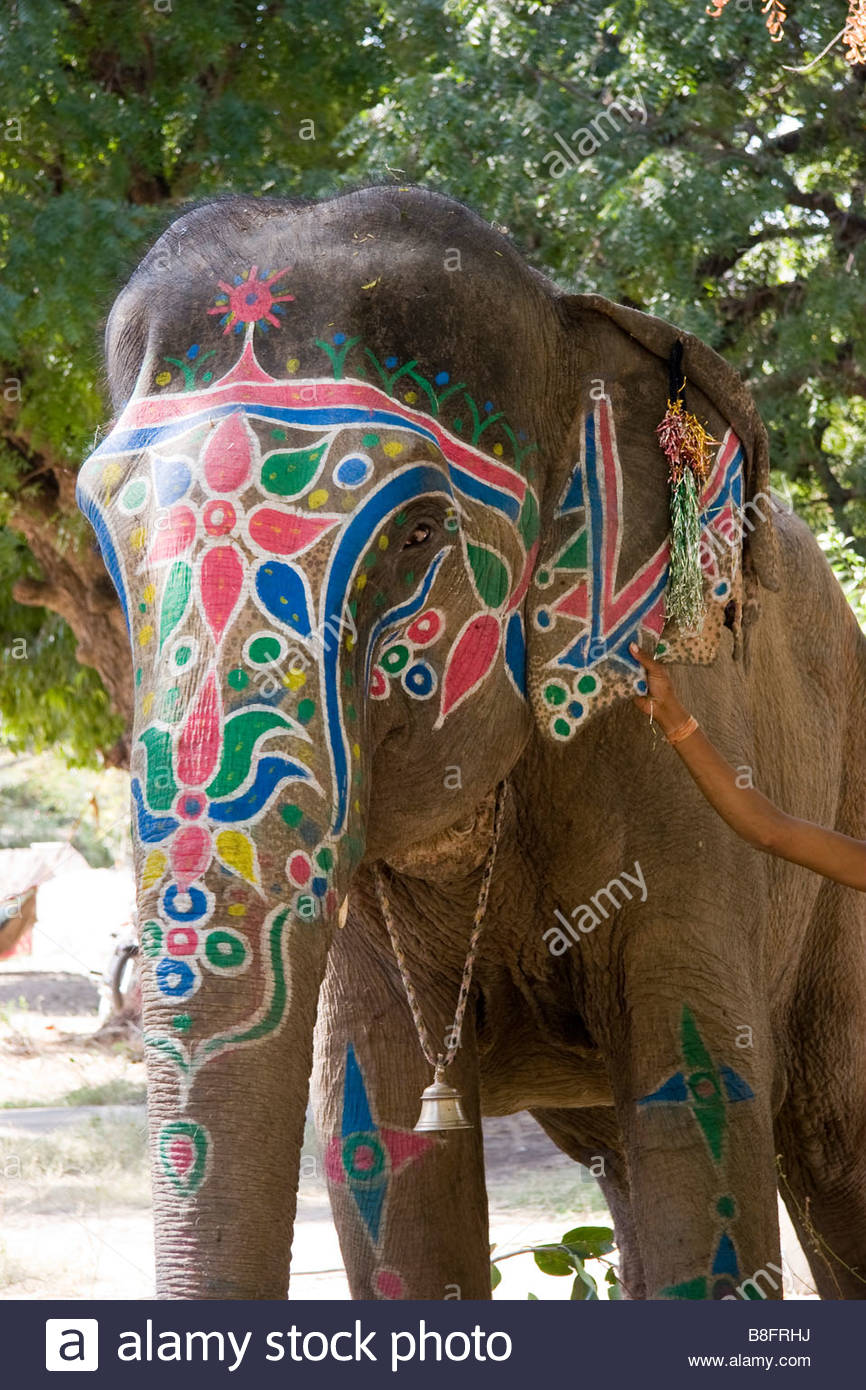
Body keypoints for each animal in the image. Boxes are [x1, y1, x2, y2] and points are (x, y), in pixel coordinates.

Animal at [75, 186, 866, 1301]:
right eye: (106, 546)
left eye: (417, 534)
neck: (567, 317)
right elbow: (376, 1141)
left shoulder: (680, 808)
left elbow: (696, 1111)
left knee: (832, 1147)